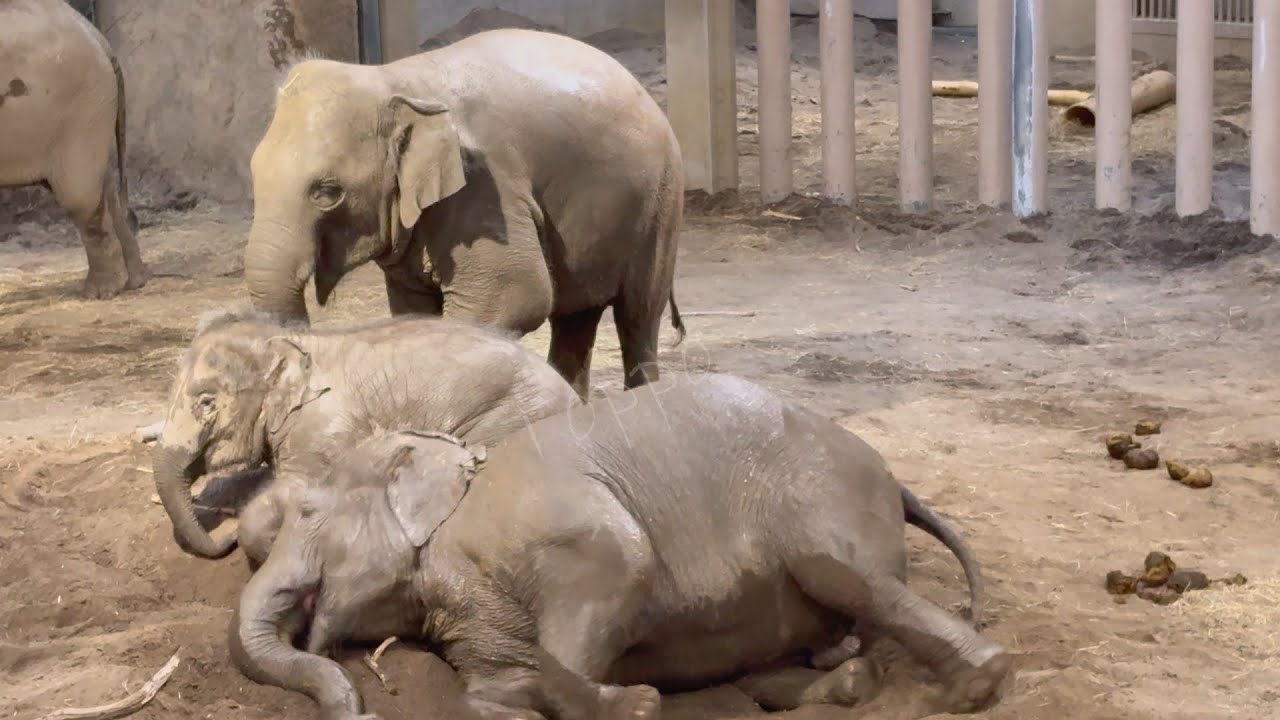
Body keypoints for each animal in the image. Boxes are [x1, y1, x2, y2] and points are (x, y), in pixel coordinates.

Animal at [0, 0, 147, 298]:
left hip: (79, 110)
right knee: (104, 186)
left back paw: (101, 292)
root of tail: (100, 39)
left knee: (80, 196)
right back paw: (134, 281)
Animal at [151, 308, 580, 563]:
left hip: (512, 417)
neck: (291, 340)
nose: (223, 540)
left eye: (206, 401)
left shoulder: (325, 429)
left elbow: (296, 490)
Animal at [229, 372, 1012, 720]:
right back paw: (848, 685)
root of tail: (896, 480)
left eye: (307, 510)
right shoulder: (471, 621)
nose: (364, 706)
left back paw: (976, 686)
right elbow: (482, 696)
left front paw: (634, 704)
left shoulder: (553, 525)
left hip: (818, 503)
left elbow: (619, 569)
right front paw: (571, 703)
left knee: (854, 581)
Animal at [242, 28, 685, 400]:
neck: (392, 80)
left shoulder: (486, 191)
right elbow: (414, 311)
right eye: (253, 173)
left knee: (638, 316)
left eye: (328, 192)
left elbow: (517, 294)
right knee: (576, 318)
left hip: (661, 202)